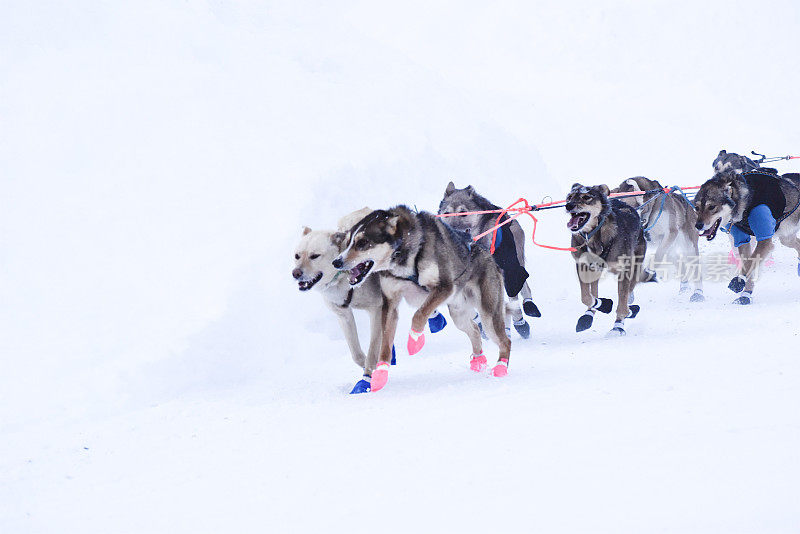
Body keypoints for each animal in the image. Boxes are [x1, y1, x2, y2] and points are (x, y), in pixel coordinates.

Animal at [332, 205, 512, 394]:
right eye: (348, 242)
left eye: (363, 242)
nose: (336, 262)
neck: (404, 254)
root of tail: (487, 254)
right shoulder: (390, 303)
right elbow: (386, 343)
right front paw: (380, 373)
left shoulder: (443, 287)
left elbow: (419, 315)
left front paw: (415, 341)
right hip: (459, 315)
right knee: (475, 330)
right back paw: (478, 361)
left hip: (488, 315)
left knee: (505, 341)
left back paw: (501, 367)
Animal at [438, 181, 544, 340]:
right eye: (447, 213)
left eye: (463, 212)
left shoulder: (508, 269)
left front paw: (519, 323)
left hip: (516, 261)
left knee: (522, 286)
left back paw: (526, 308)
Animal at [564, 184, 648, 336]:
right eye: (569, 197)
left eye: (586, 197)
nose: (569, 205)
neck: (592, 236)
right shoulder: (582, 265)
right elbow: (586, 297)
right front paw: (604, 304)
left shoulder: (625, 271)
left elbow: (623, 302)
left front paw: (618, 325)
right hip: (595, 270)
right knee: (594, 291)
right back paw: (589, 314)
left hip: (635, 266)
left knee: (629, 290)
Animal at [692, 170, 800, 304]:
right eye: (697, 208)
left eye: (711, 206)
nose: (698, 225)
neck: (745, 201)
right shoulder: (743, 241)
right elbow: (749, 264)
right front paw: (746, 294)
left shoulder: (765, 240)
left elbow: (750, 263)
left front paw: (739, 281)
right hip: (786, 238)